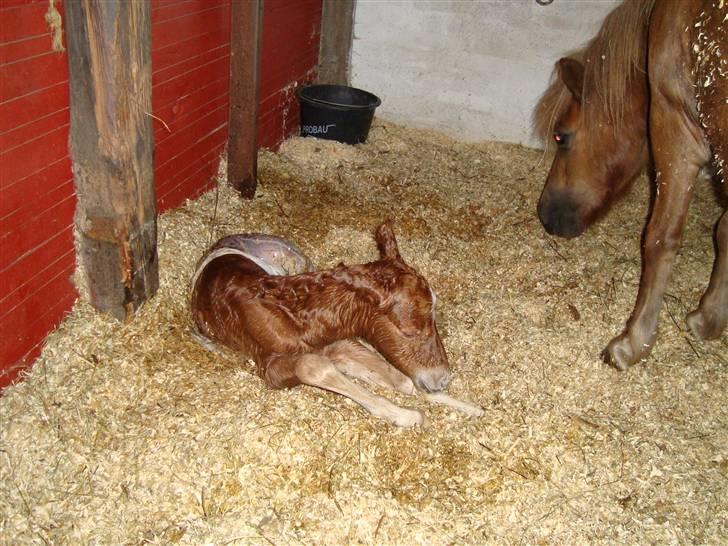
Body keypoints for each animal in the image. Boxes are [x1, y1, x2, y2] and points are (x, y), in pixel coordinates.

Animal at [191, 221, 480, 424]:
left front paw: (473, 409)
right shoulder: (269, 364)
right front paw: (407, 415)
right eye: (409, 330)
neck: (293, 318)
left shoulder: (338, 343)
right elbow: (313, 367)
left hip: (300, 260)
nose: (442, 379)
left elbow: (402, 381)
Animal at [532, 0, 724, 370]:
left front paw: (632, 343)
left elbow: (661, 238)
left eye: (561, 136)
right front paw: (710, 318)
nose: (545, 215)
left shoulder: (676, 125)